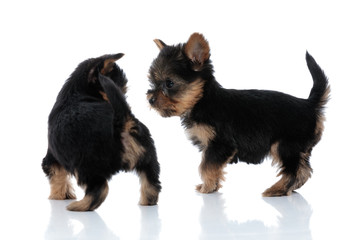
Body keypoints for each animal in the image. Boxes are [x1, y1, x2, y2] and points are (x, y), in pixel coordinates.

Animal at [41, 53, 161, 211]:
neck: (75, 93)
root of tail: (121, 121)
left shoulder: (53, 156)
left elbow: (57, 176)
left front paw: (58, 196)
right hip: (148, 157)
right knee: (151, 184)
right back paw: (147, 202)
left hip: (87, 165)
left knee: (99, 189)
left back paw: (79, 205)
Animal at [146, 32, 330, 197]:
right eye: (152, 83)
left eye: (169, 83)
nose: (150, 99)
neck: (202, 101)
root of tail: (308, 104)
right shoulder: (212, 147)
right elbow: (211, 166)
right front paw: (212, 186)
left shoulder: (220, 144)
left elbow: (206, 166)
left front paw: (207, 188)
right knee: (304, 169)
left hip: (285, 145)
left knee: (293, 170)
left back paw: (277, 190)